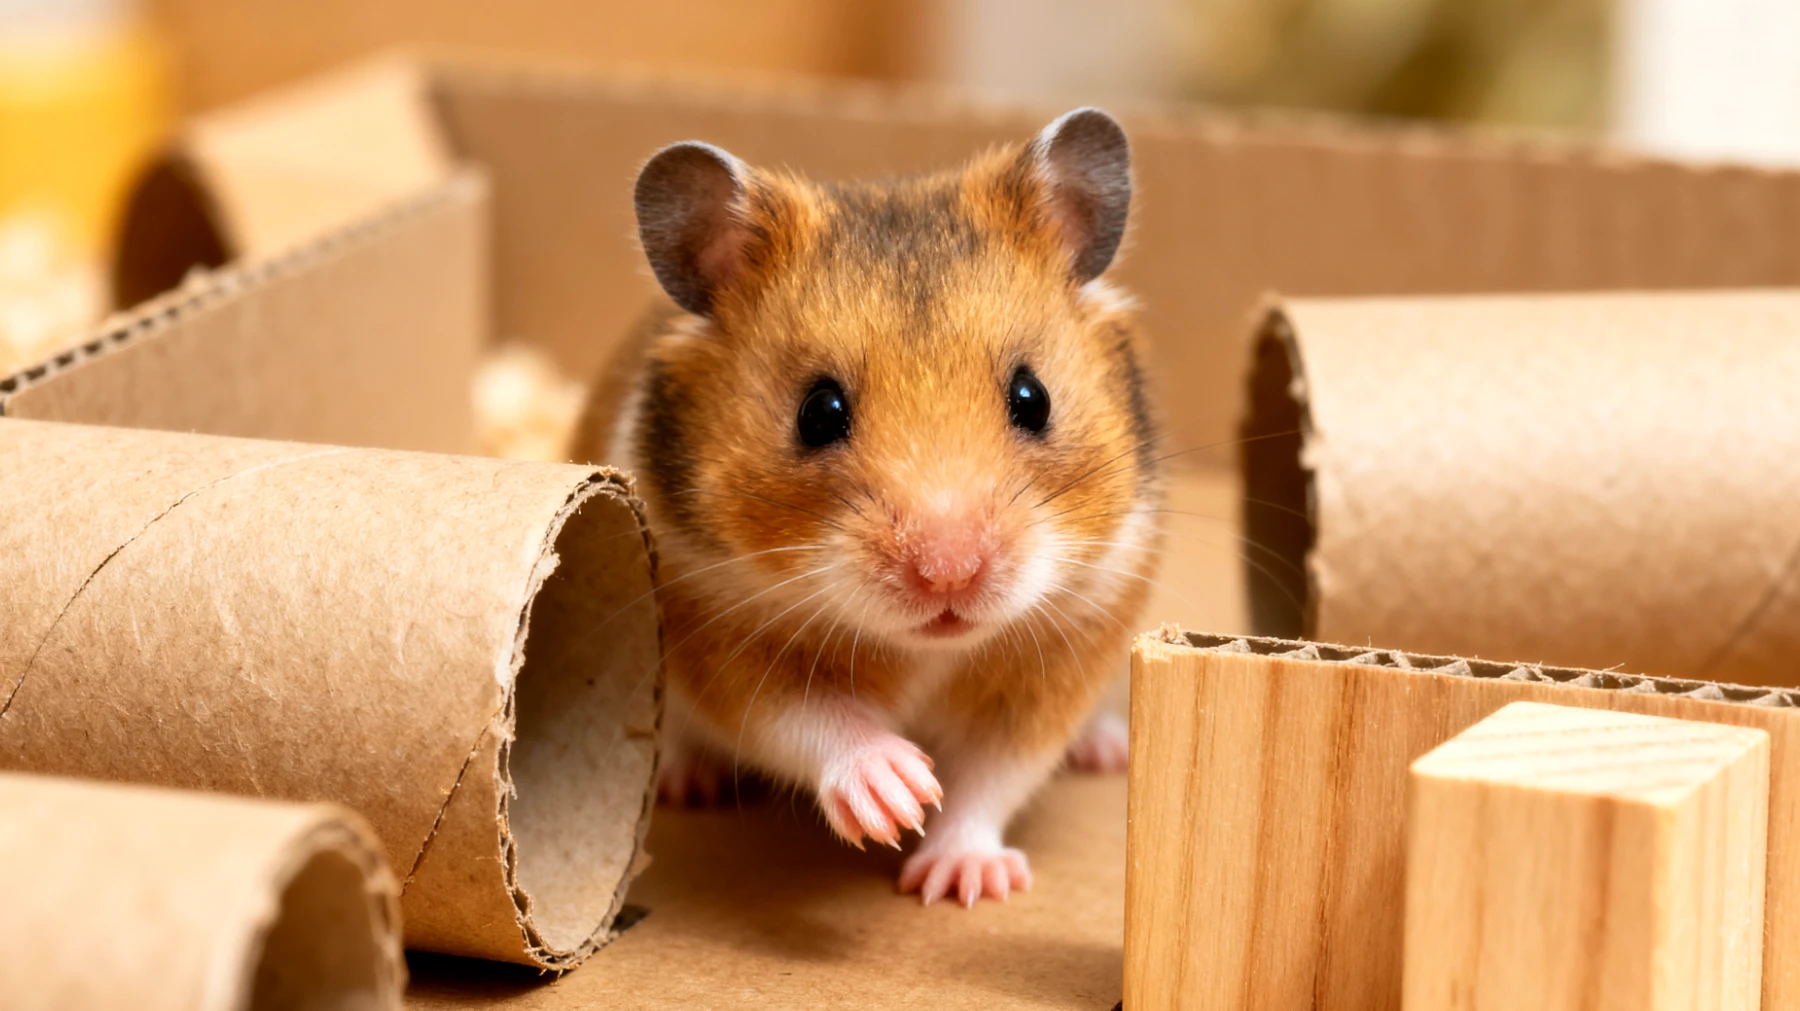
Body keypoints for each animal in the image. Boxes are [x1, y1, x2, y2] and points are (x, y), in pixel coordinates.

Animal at [576, 108, 1161, 907]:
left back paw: (1104, 748)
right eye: (818, 412)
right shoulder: (716, 631)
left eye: (1033, 397)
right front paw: (900, 795)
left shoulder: (1064, 652)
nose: (949, 577)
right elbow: (804, 718)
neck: (927, 650)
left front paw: (958, 880)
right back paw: (684, 781)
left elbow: (993, 774)